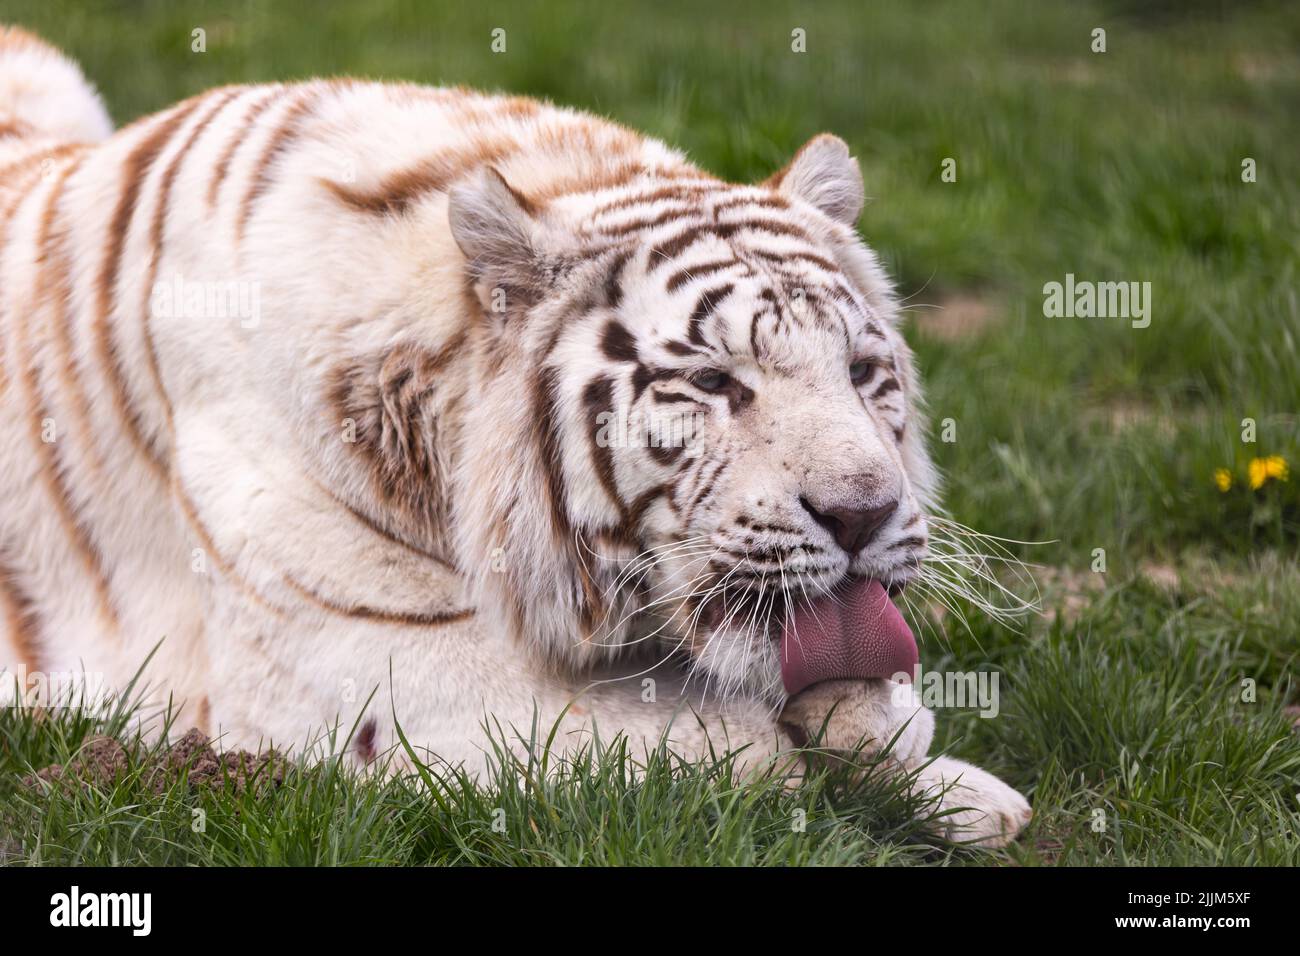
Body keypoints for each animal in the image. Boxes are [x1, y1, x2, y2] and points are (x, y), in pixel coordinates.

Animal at [0, 26, 1030, 845]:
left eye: (859, 372)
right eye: (712, 382)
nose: (864, 515)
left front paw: (956, 783)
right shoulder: (357, 666)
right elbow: (710, 747)